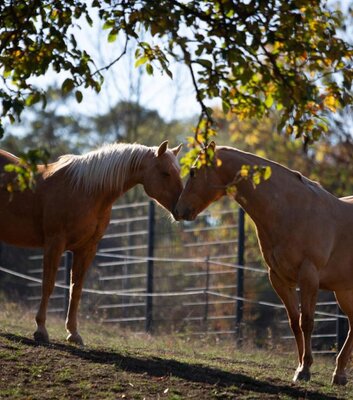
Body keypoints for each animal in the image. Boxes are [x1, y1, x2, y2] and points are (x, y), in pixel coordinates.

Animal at [0, 141, 182, 344]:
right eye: (165, 173)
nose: (182, 208)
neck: (85, 189)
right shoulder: (55, 243)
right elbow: (48, 285)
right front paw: (41, 329)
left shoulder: (87, 249)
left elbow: (76, 290)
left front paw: (73, 333)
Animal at [175, 142, 352, 386]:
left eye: (193, 172)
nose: (178, 209)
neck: (292, 210)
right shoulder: (278, 278)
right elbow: (294, 323)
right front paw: (299, 367)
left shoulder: (308, 277)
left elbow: (307, 322)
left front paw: (305, 369)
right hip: (343, 290)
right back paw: (339, 374)